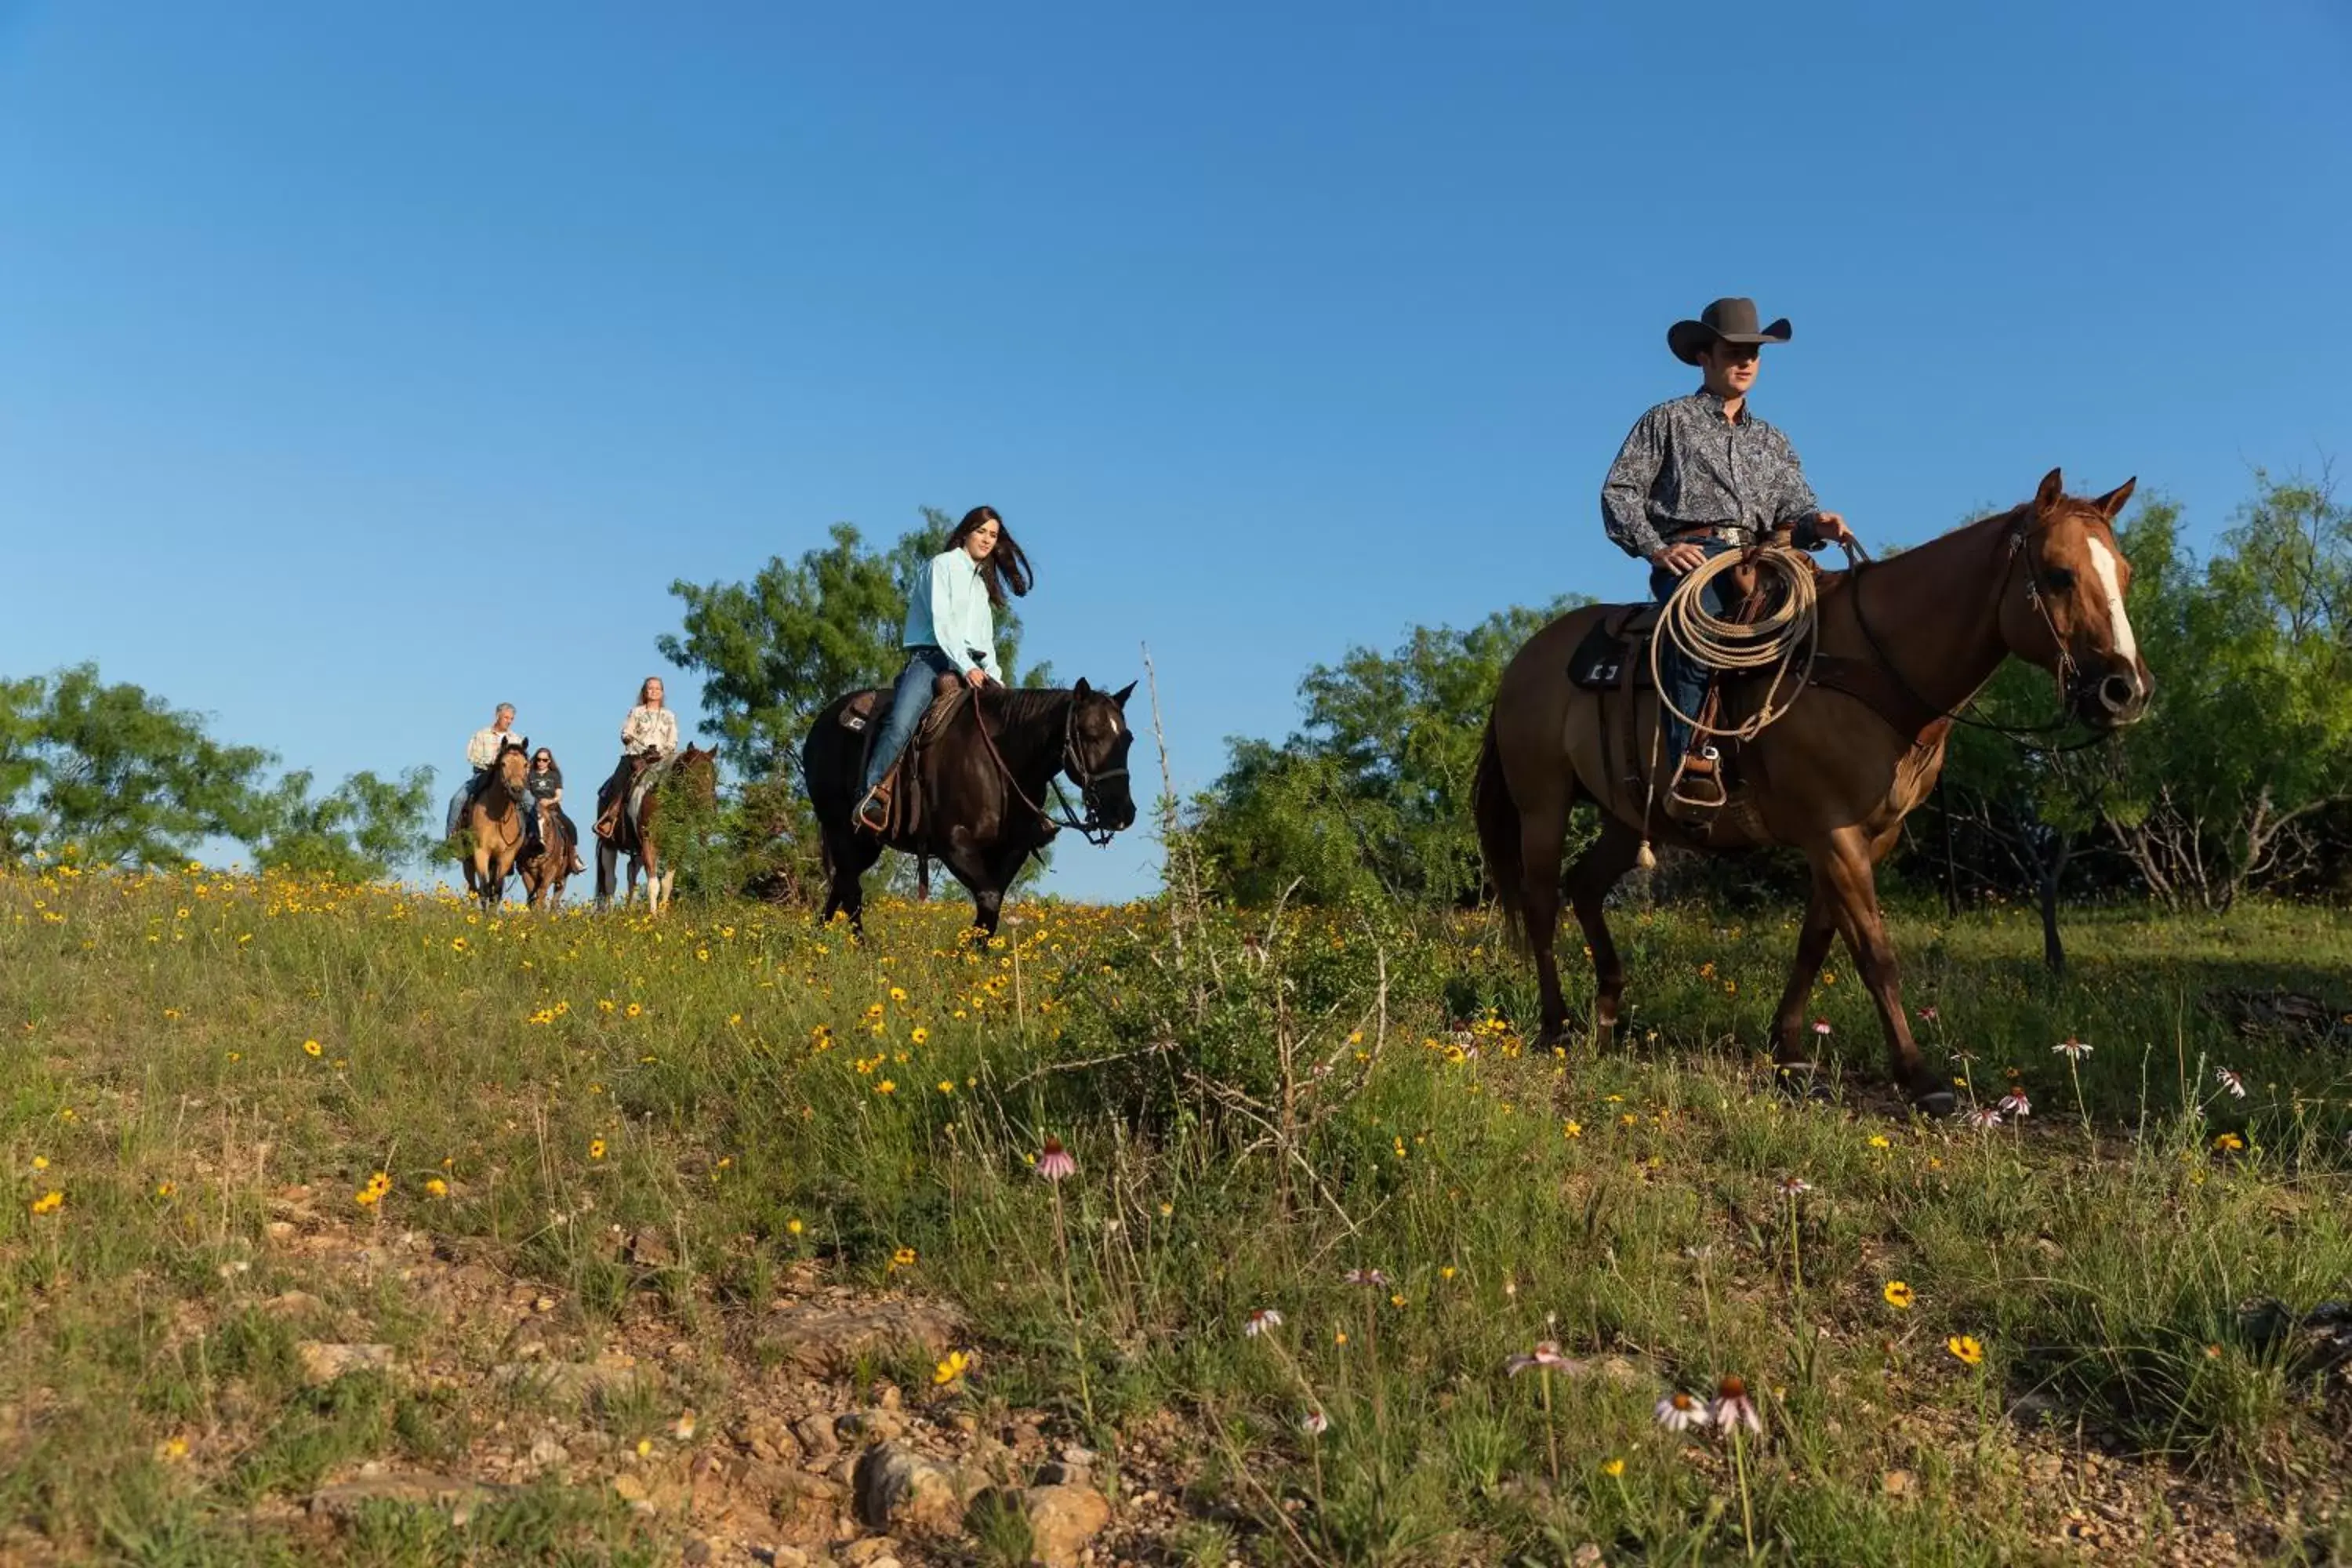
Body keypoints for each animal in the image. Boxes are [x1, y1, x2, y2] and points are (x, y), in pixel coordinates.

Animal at [463, 742, 534, 912]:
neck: (497, 815)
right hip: (468, 860)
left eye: (525, 764)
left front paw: (492, 915)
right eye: (503, 763)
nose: (517, 790)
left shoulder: (505, 857)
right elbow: (483, 888)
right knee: (472, 888)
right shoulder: (480, 852)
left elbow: (497, 891)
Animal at [593, 747, 710, 921]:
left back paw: (629, 909)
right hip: (609, 845)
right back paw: (610, 915)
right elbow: (653, 884)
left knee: (631, 872)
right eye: (693, 775)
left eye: (714, 774)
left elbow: (667, 882)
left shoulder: (675, 846)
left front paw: (662, 915)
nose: (709, 807)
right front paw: (653, 916)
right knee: (610, 881)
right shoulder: (649, 842)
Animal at [804, 681, 1143, 940]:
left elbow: (991, 904)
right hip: (840, 830)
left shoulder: (1012, 848)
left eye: (1128, 739)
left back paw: (818, 941)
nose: (1122, 812)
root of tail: (823, 721)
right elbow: (989, 899)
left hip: (865, 842)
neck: (1001, 761)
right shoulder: (954, 843)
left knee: (841, 883)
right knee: (851, 890)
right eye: (1090, 733)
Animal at [1468, 470, 2154, 1114]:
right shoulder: (1833, 832)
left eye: (2124, 574)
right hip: (1543, 806)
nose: (2126, 691)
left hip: (1627, 813)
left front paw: (1790, 1054)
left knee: (1585, 886)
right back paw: (1557, 1025)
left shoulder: (1871, 835)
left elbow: (1816, 941)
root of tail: (1526, 658)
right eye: (2060, 575)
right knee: (1540, 902)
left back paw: (1609, 1011)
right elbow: (1874, 952)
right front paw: (1921, 1078)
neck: (1874, 664)